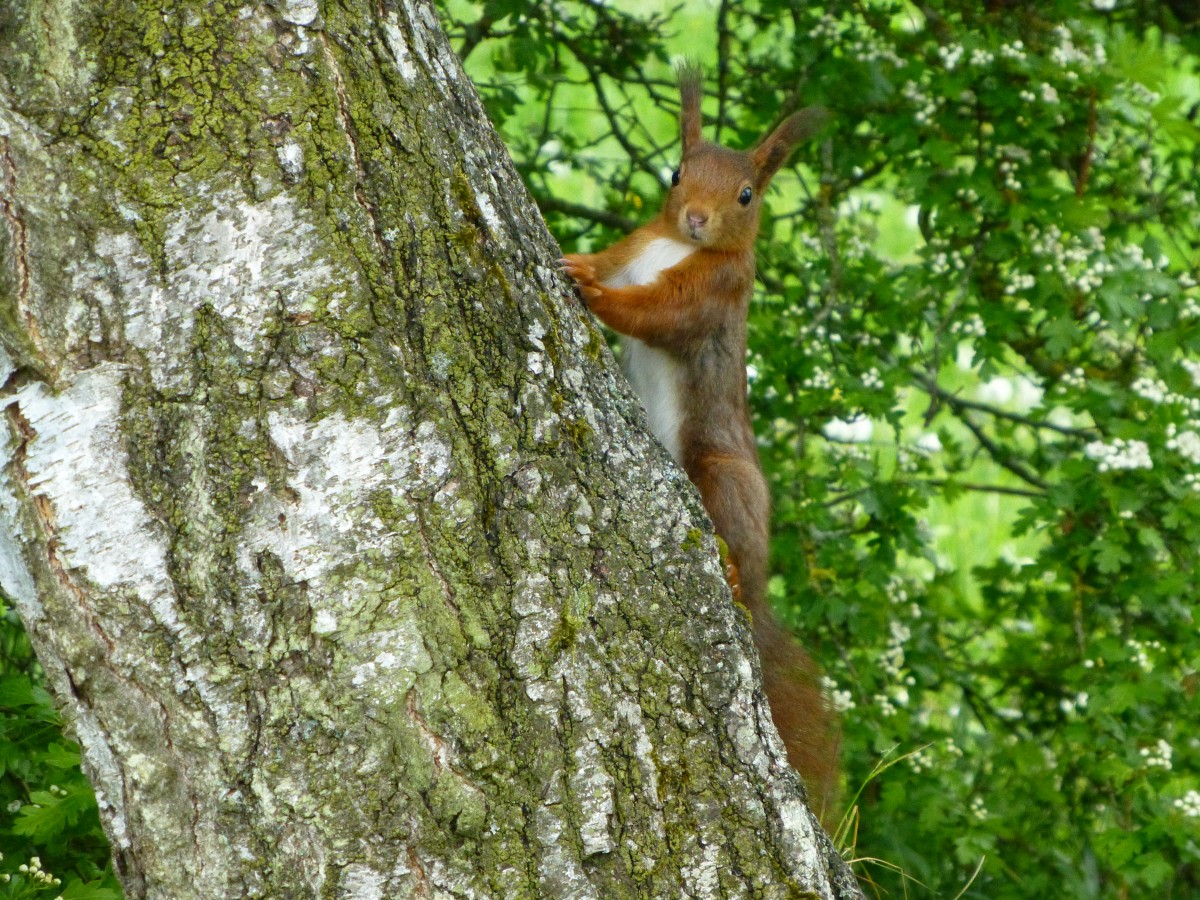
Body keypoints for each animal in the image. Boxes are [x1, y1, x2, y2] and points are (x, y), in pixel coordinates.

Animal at [564, 66, 840, 816]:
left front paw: (592, 293)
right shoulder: (632, 246)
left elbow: (657, 312)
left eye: (747, 195)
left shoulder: (713, 292)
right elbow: (609, 259)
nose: (695, 218)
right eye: (676, 172)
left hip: (720, 472)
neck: (681, 247)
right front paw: (574, 257)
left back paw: (740, 575)